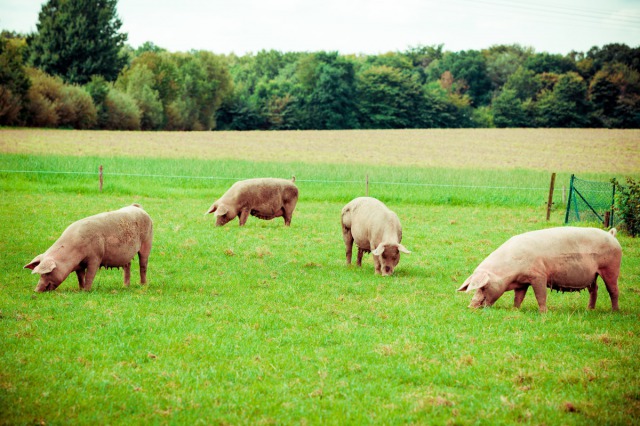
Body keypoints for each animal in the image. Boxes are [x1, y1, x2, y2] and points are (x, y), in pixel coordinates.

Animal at [23, 204, 154, 292]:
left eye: (46, 273)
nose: (36, 290)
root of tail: (138, 207)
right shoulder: (78, 265)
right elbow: (80, 277)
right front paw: (80, 289)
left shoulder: (95, 257)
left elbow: (90, 275)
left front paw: (86, 290)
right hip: (127, 255)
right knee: (128, 266)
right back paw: (125, 286)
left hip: (147, 242)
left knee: (143, 265)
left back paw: (143, 285)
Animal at [458, 226, 624, 312]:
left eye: (483, 287)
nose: (470, 306)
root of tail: (611, 235)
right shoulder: (522, 282)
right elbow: (518, 297)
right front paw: (515, 310)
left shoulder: (539, 275)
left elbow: (540, 295)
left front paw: (543, 313)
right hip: (593, 275)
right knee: (594, 289)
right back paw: (589, 309)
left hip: (611, 268)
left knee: (613, 290)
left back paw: (614, 311)